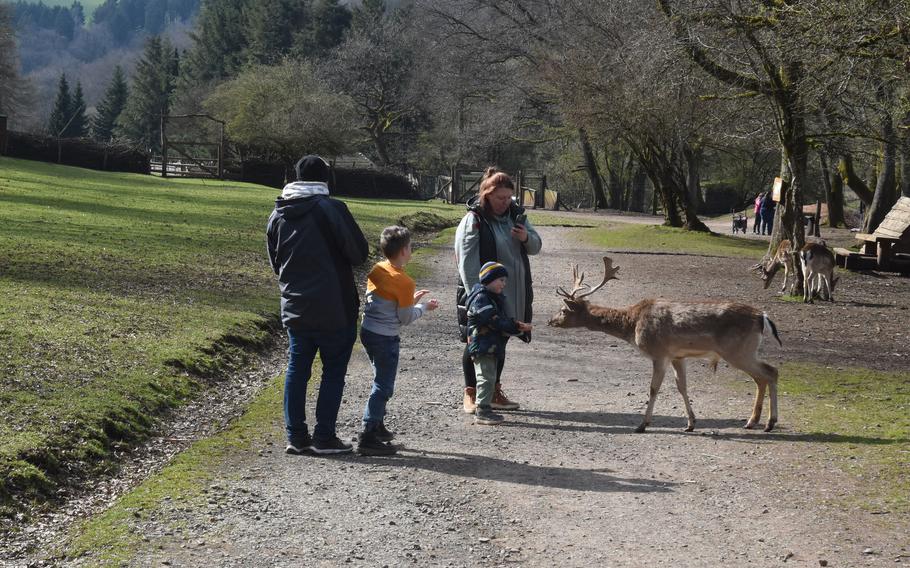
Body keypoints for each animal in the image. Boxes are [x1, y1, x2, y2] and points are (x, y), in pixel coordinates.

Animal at [548, 260, 784, 432]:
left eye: (563, 309)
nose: (550, 321)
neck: (632, 324)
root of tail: (763, 317)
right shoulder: (677, 356)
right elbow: (682, 386)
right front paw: (690, 424)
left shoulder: (659, 353)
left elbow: (654, 388)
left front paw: (642, 424)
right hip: (745, 351)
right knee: (762, 377)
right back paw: (752, 421)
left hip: (738, 350)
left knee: (771, 372)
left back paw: (769, 423)